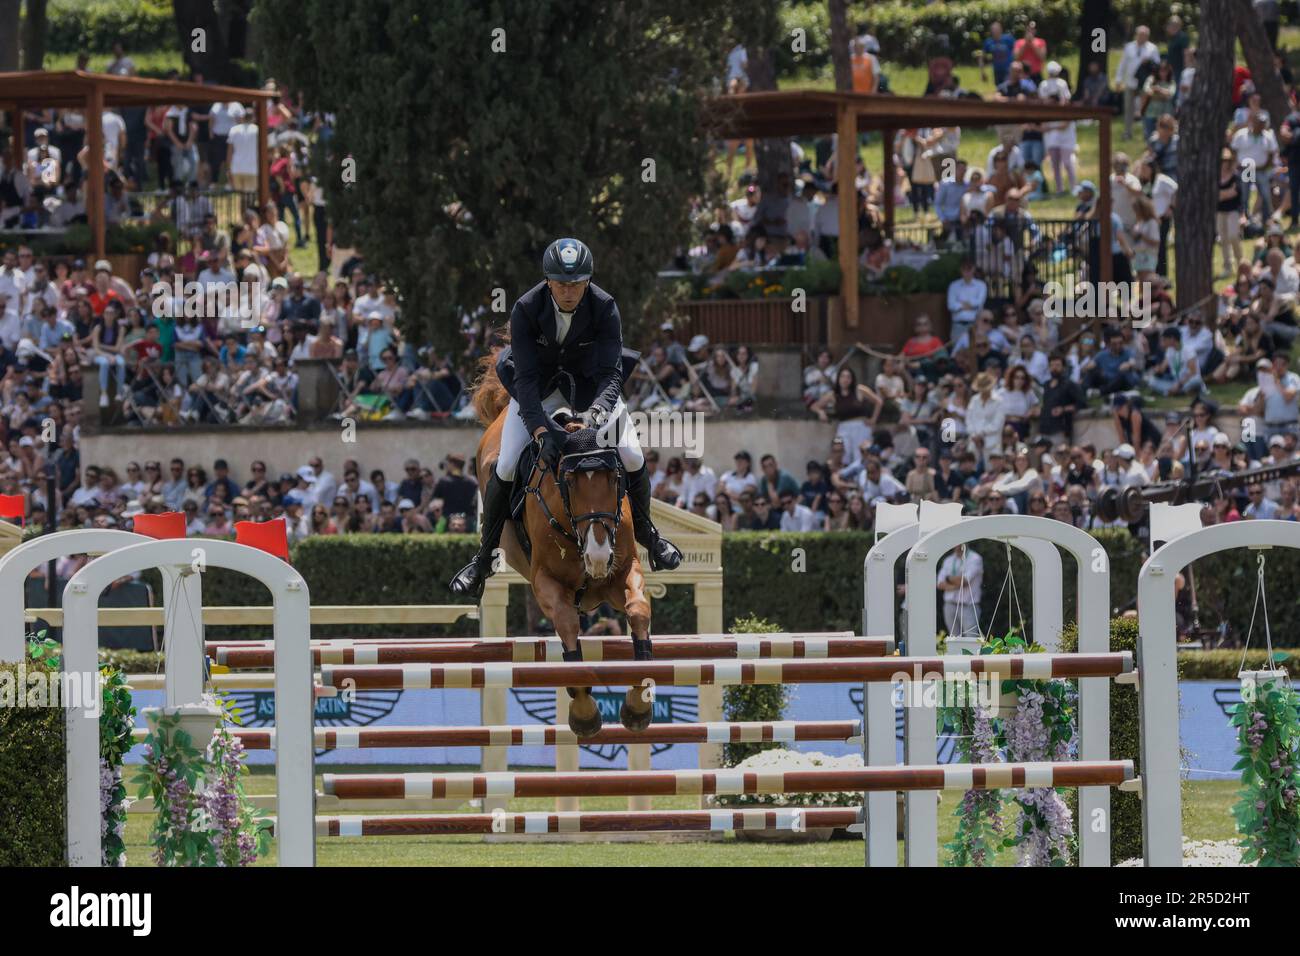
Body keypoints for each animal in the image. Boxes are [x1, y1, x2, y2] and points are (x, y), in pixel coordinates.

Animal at [470, 351, 655, 738]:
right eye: (567, 481)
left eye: (616, 478)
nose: (598, 557)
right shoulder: (545, 582)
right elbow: (568, 625)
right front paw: (584, 713)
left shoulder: (623, 571)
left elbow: (637, 610)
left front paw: (637, 705)